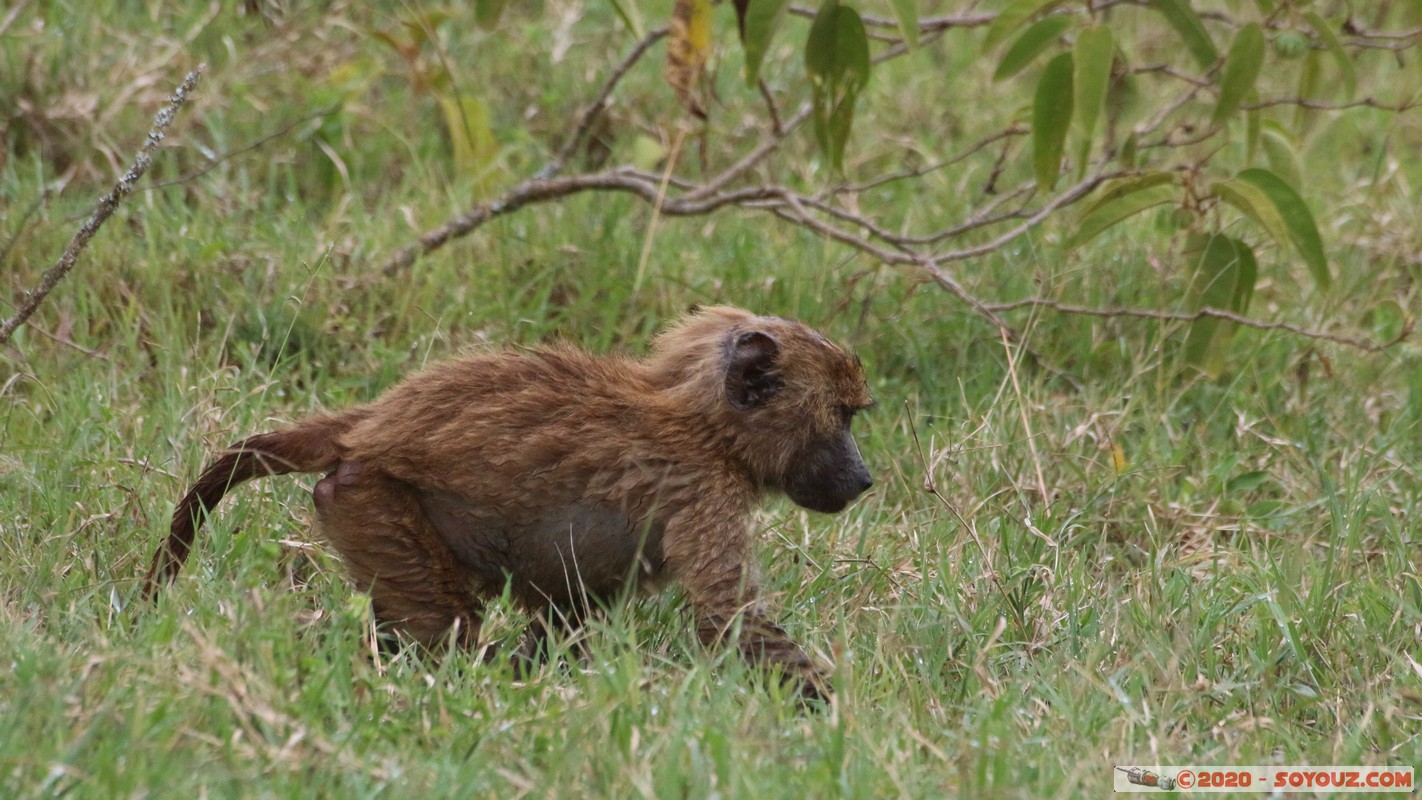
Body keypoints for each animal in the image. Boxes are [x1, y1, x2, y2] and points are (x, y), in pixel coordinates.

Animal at [144, 306, 874, 700]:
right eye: (841, 416)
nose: (864, 478)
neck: (704, 423)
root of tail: (367, 428)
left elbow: (566, 616)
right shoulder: (704, 492)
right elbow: (735, 624)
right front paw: (834, 715)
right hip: (371, 502)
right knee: (443, 633)